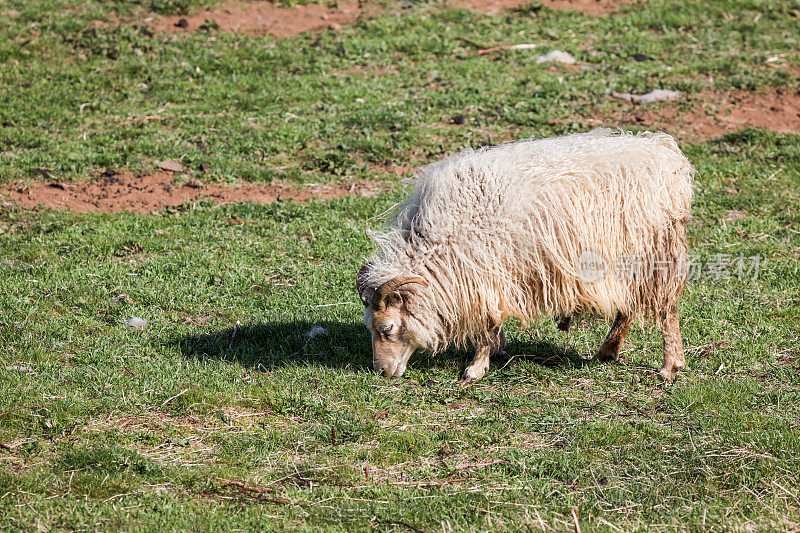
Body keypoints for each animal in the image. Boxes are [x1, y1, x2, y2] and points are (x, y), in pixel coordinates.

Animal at [356, 127, 692, 380]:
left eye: (387, 328)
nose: (381, 372)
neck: (441, 240)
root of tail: (662, 150)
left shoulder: (487, 271)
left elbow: (487, 322)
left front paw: (475, 369)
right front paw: (497, 349)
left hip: (656, 251)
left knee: (667, 309)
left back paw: (670, 366)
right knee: (628, 306)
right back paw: (608, 351)